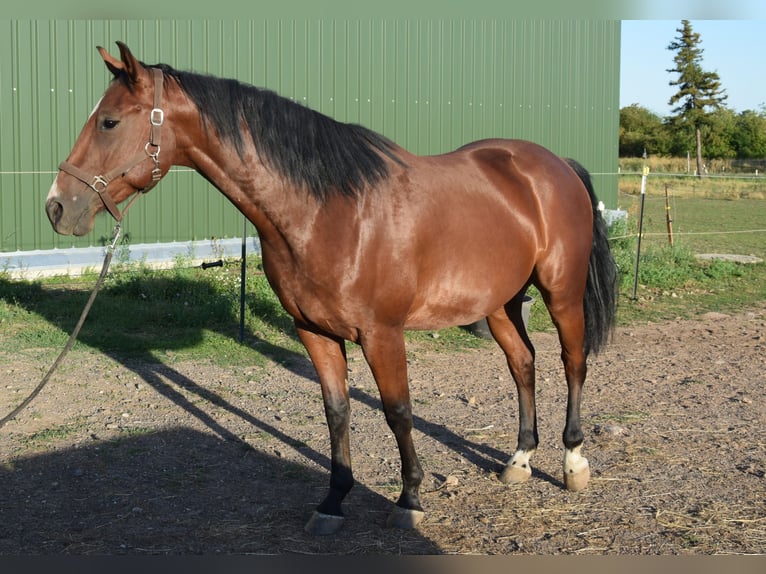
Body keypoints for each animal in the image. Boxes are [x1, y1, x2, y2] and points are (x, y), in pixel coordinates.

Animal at [45, 42, 618, 535]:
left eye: (109, 121)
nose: (57, 207)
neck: (330, 211)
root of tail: (554, 165)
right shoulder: (313, 331)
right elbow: (337, 412)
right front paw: (334, 501)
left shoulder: (383, 334)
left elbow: (398, 411)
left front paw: (409, 499)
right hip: (499, 303)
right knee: (523, 363)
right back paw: (519, 460)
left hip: (561, 293)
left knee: (573, 362)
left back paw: (572, 462)